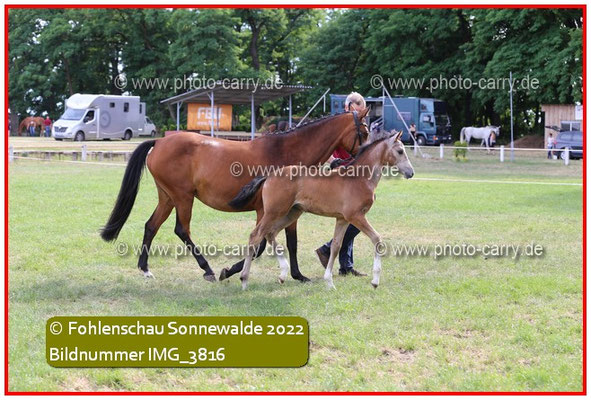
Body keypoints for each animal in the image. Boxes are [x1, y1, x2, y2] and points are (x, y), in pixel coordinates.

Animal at [100, 109, 370, 283]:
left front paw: (298, 275)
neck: (285, 152)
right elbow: (259, 245)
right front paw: (229, 270)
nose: (363, 160)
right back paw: (208, 269)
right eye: (365, 133)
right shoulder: (265, 211)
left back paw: (145, 269)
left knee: (151, 226)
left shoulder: (291, 210)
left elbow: (292, 243)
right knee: (181, 230)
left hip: (167, 197)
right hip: (183, 198)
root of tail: (159, 142)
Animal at [228, 130, 414, 290]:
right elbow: (377, 239)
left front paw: (329, 282)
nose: (411, 173)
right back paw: (244, 279)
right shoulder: (355, 216)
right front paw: (375, 281)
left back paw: (282, 274)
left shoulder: (342, 219)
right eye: (400, 151)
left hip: (292, 212)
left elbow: (336, 246)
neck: (358, 179)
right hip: (274, 212)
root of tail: (269, 175)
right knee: (255, 235)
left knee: (270, 233)